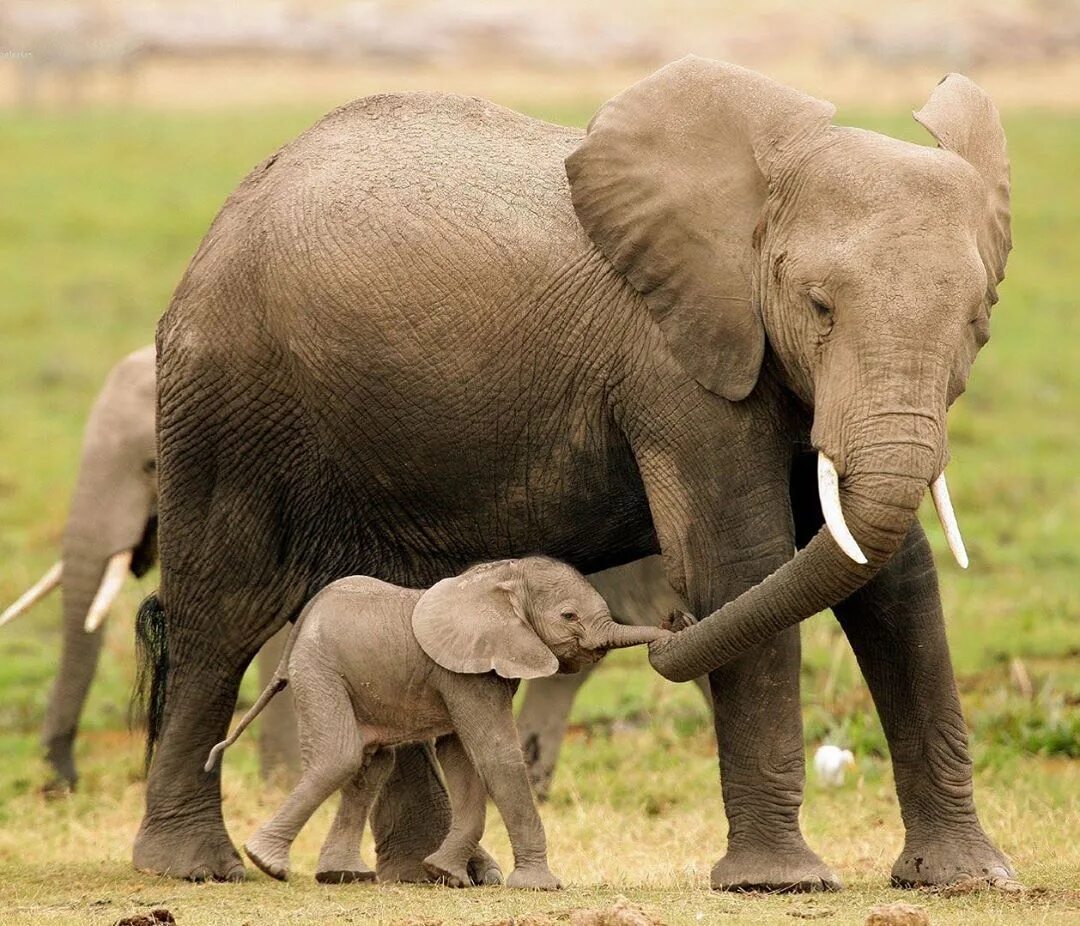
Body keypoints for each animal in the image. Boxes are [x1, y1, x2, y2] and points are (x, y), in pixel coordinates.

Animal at [204, 557, 665, 890]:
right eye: (569, 616)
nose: (671, 626)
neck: (501, 577)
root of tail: (305, 616)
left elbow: (461, 758)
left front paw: (446, 874)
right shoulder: (463, 672)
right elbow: (494, 755)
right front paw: (539, 885)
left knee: (372, 765)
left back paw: (342, 875)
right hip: (319, 667)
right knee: (340, 755)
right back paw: (266, 862)